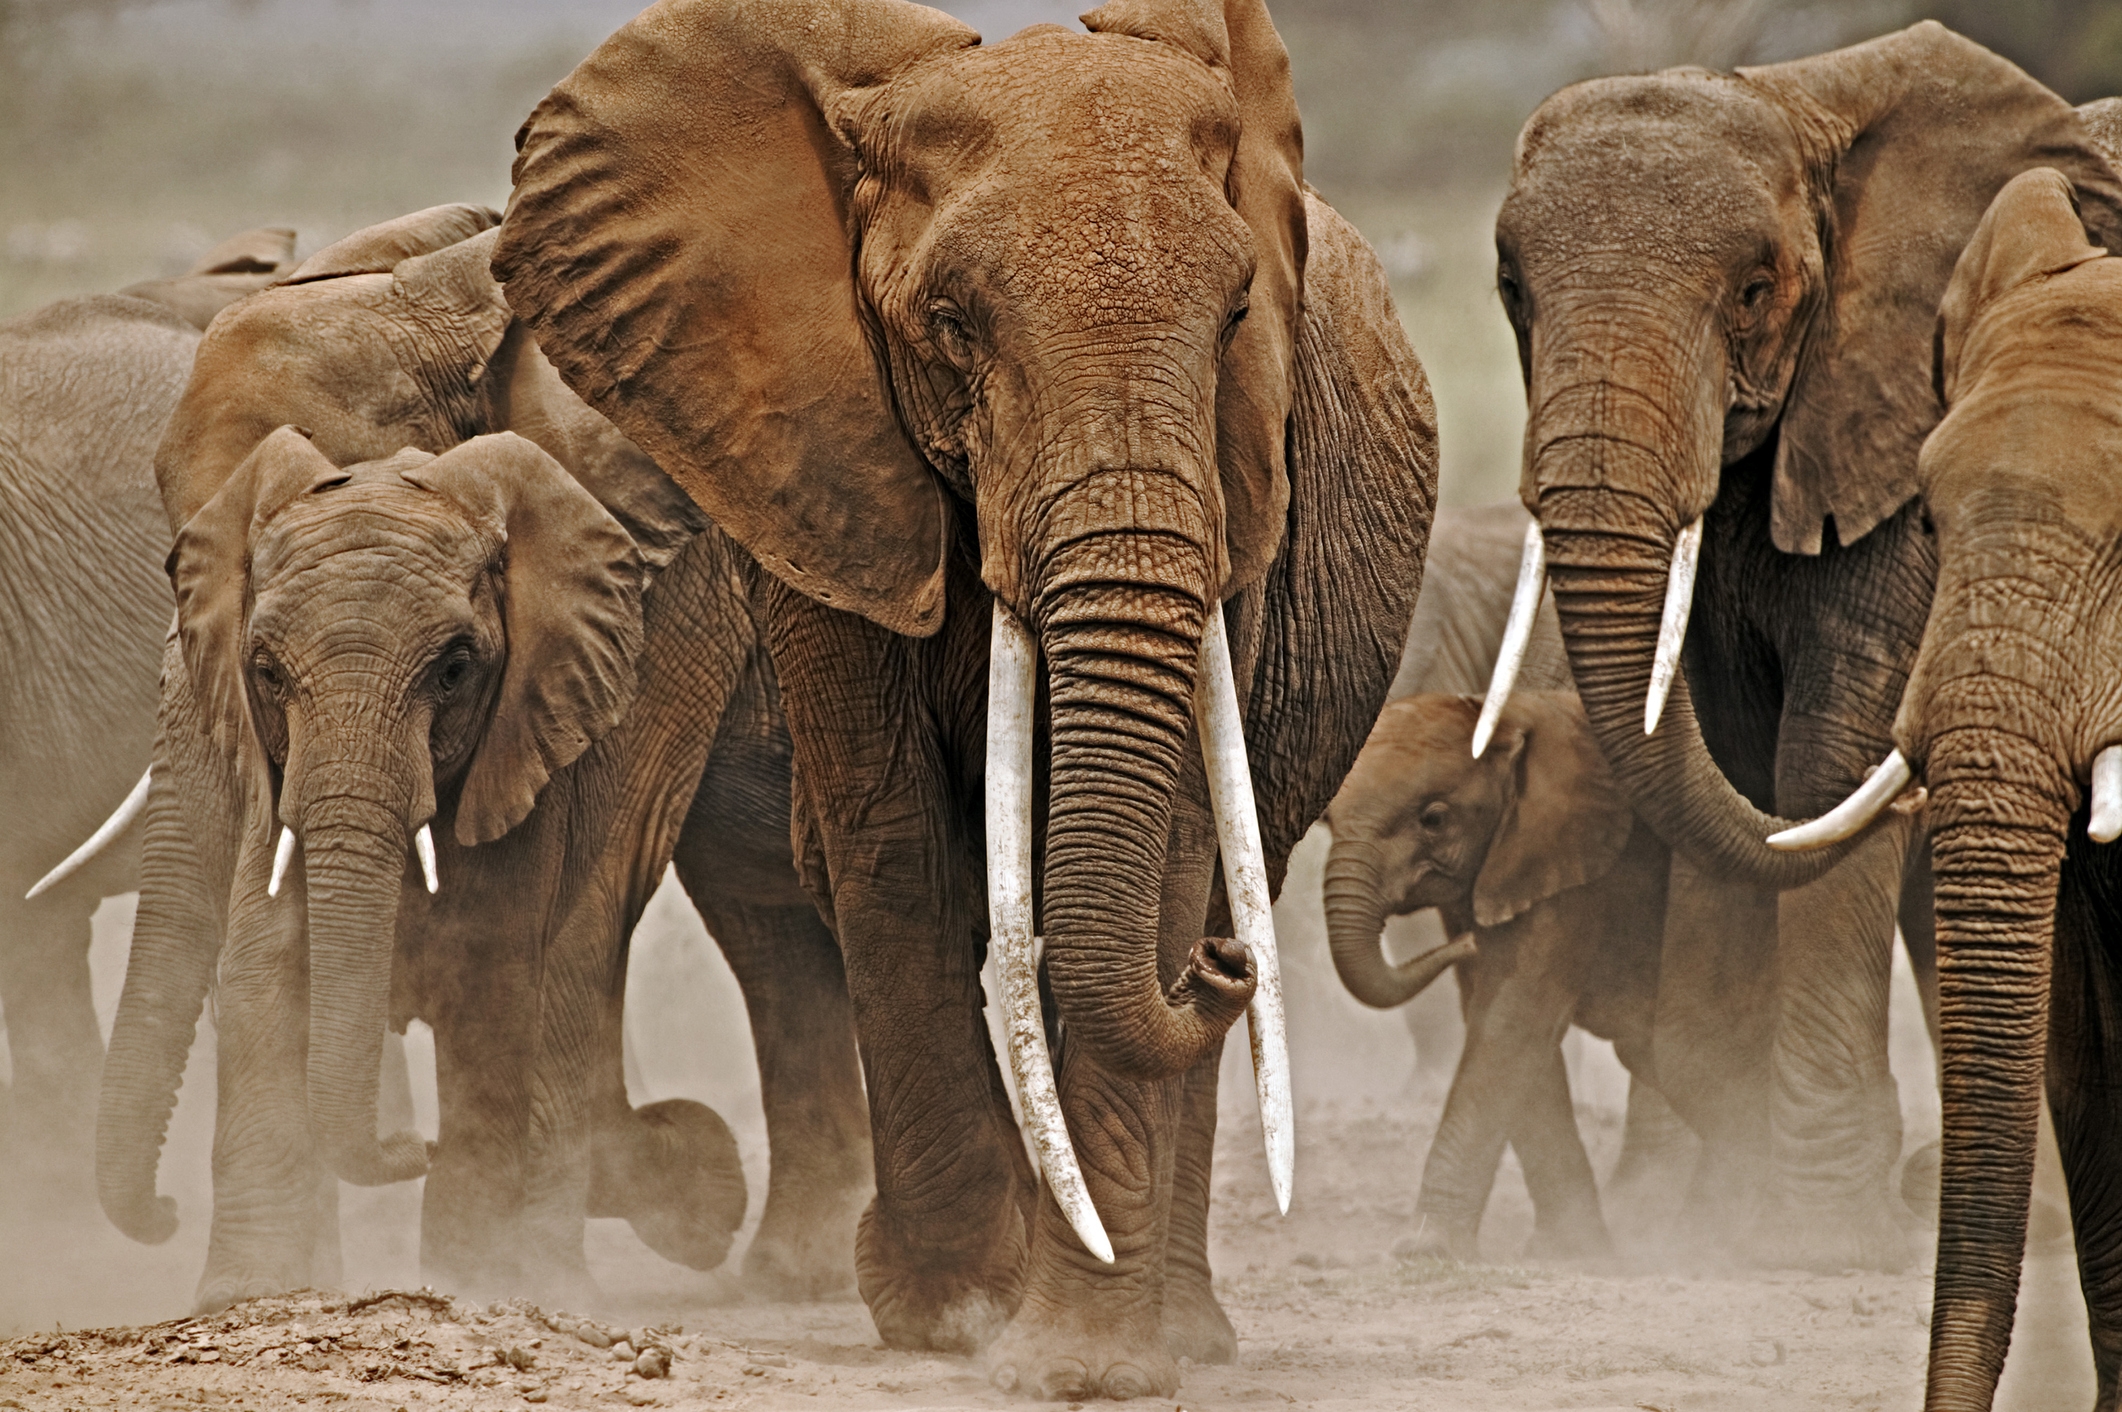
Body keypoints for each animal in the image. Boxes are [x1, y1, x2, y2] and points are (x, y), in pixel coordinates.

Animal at [96, 209, 873, 1310]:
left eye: (457, 665)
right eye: (265, 667)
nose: (159, 1211)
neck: (436, 296)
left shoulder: (652, 590)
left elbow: (550, 917)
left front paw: (514, 1277)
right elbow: (267, 930)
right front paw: (255, 1292)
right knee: (768, 920)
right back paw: (784, 1269)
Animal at [493, 0, 1437, 1397]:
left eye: (1234, 317)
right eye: (951, 324)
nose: (1216, 971)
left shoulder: (1245, 485)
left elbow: (1167, 844)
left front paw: (1080, 1365)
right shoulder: (819, 459)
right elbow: (889, 837)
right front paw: (955, 1314)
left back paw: (1185, 1323)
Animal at [1324, 691, 1667, 1263]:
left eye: (1434, 819)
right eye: (1327, 821)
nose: (1465, 944)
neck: (1508, 717)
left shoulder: (1569, 866)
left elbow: (1511, 1019)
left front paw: (1424, 1250)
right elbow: (1504, 1026)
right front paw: (1571, 1252)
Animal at [1484, 20, 2122, 1271]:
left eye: (1751, 290)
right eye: (1511, 287)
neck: (1795, 100)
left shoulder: (1894, 426)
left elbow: (1828, 751)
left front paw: (1817, 1223)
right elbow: (1734, 751)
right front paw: (1724, 1209)